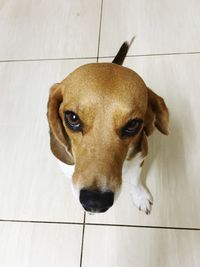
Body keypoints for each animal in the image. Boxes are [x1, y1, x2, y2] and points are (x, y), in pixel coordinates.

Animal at [47, 40, 169, 216]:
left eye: (132, 124)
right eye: (73, 118)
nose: (94, 203)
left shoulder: (139, 158)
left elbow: (135, 180)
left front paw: (140, 196)